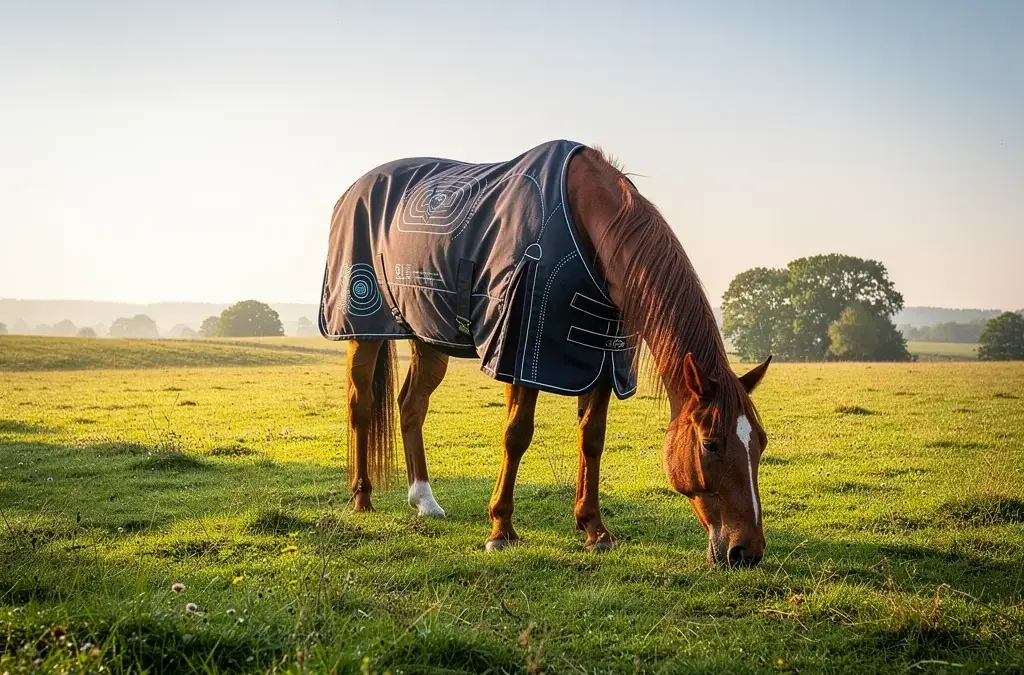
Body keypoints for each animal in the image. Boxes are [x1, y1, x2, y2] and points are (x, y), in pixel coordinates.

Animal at [318, 140, 772, 567]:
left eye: (761, 443)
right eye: (711, 444)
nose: (746, 552)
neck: (585, 222)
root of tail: (354, 190)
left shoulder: (599, 361)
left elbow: (592, 439)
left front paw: (594, 530)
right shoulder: (520, 356)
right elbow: (516, 436)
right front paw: (501, 530)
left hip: (429, 335)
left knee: (411, 406)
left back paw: (425, 500)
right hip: (363, 328)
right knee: (361, 405)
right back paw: (362, 498)